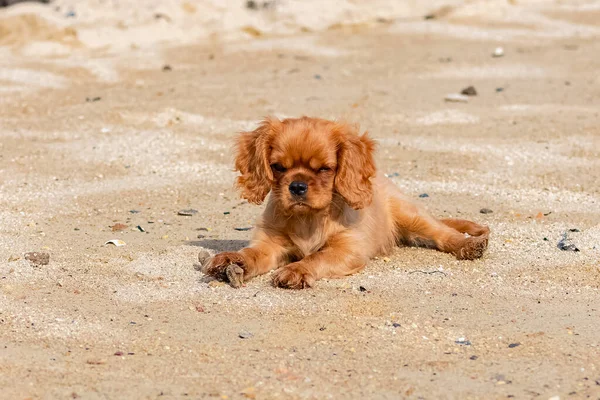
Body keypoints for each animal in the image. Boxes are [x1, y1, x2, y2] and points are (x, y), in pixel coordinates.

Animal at [202, 117, 488, 290]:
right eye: (278, 167)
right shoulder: (270, 244)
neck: (309, 218)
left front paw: (296, 270)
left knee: (443, 232)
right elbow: (252, 253)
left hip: (411, 214)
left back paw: (469, 245)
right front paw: (232, 260)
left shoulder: (347, 249)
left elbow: (316, 256)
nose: (297, 186)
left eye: (324, 169)